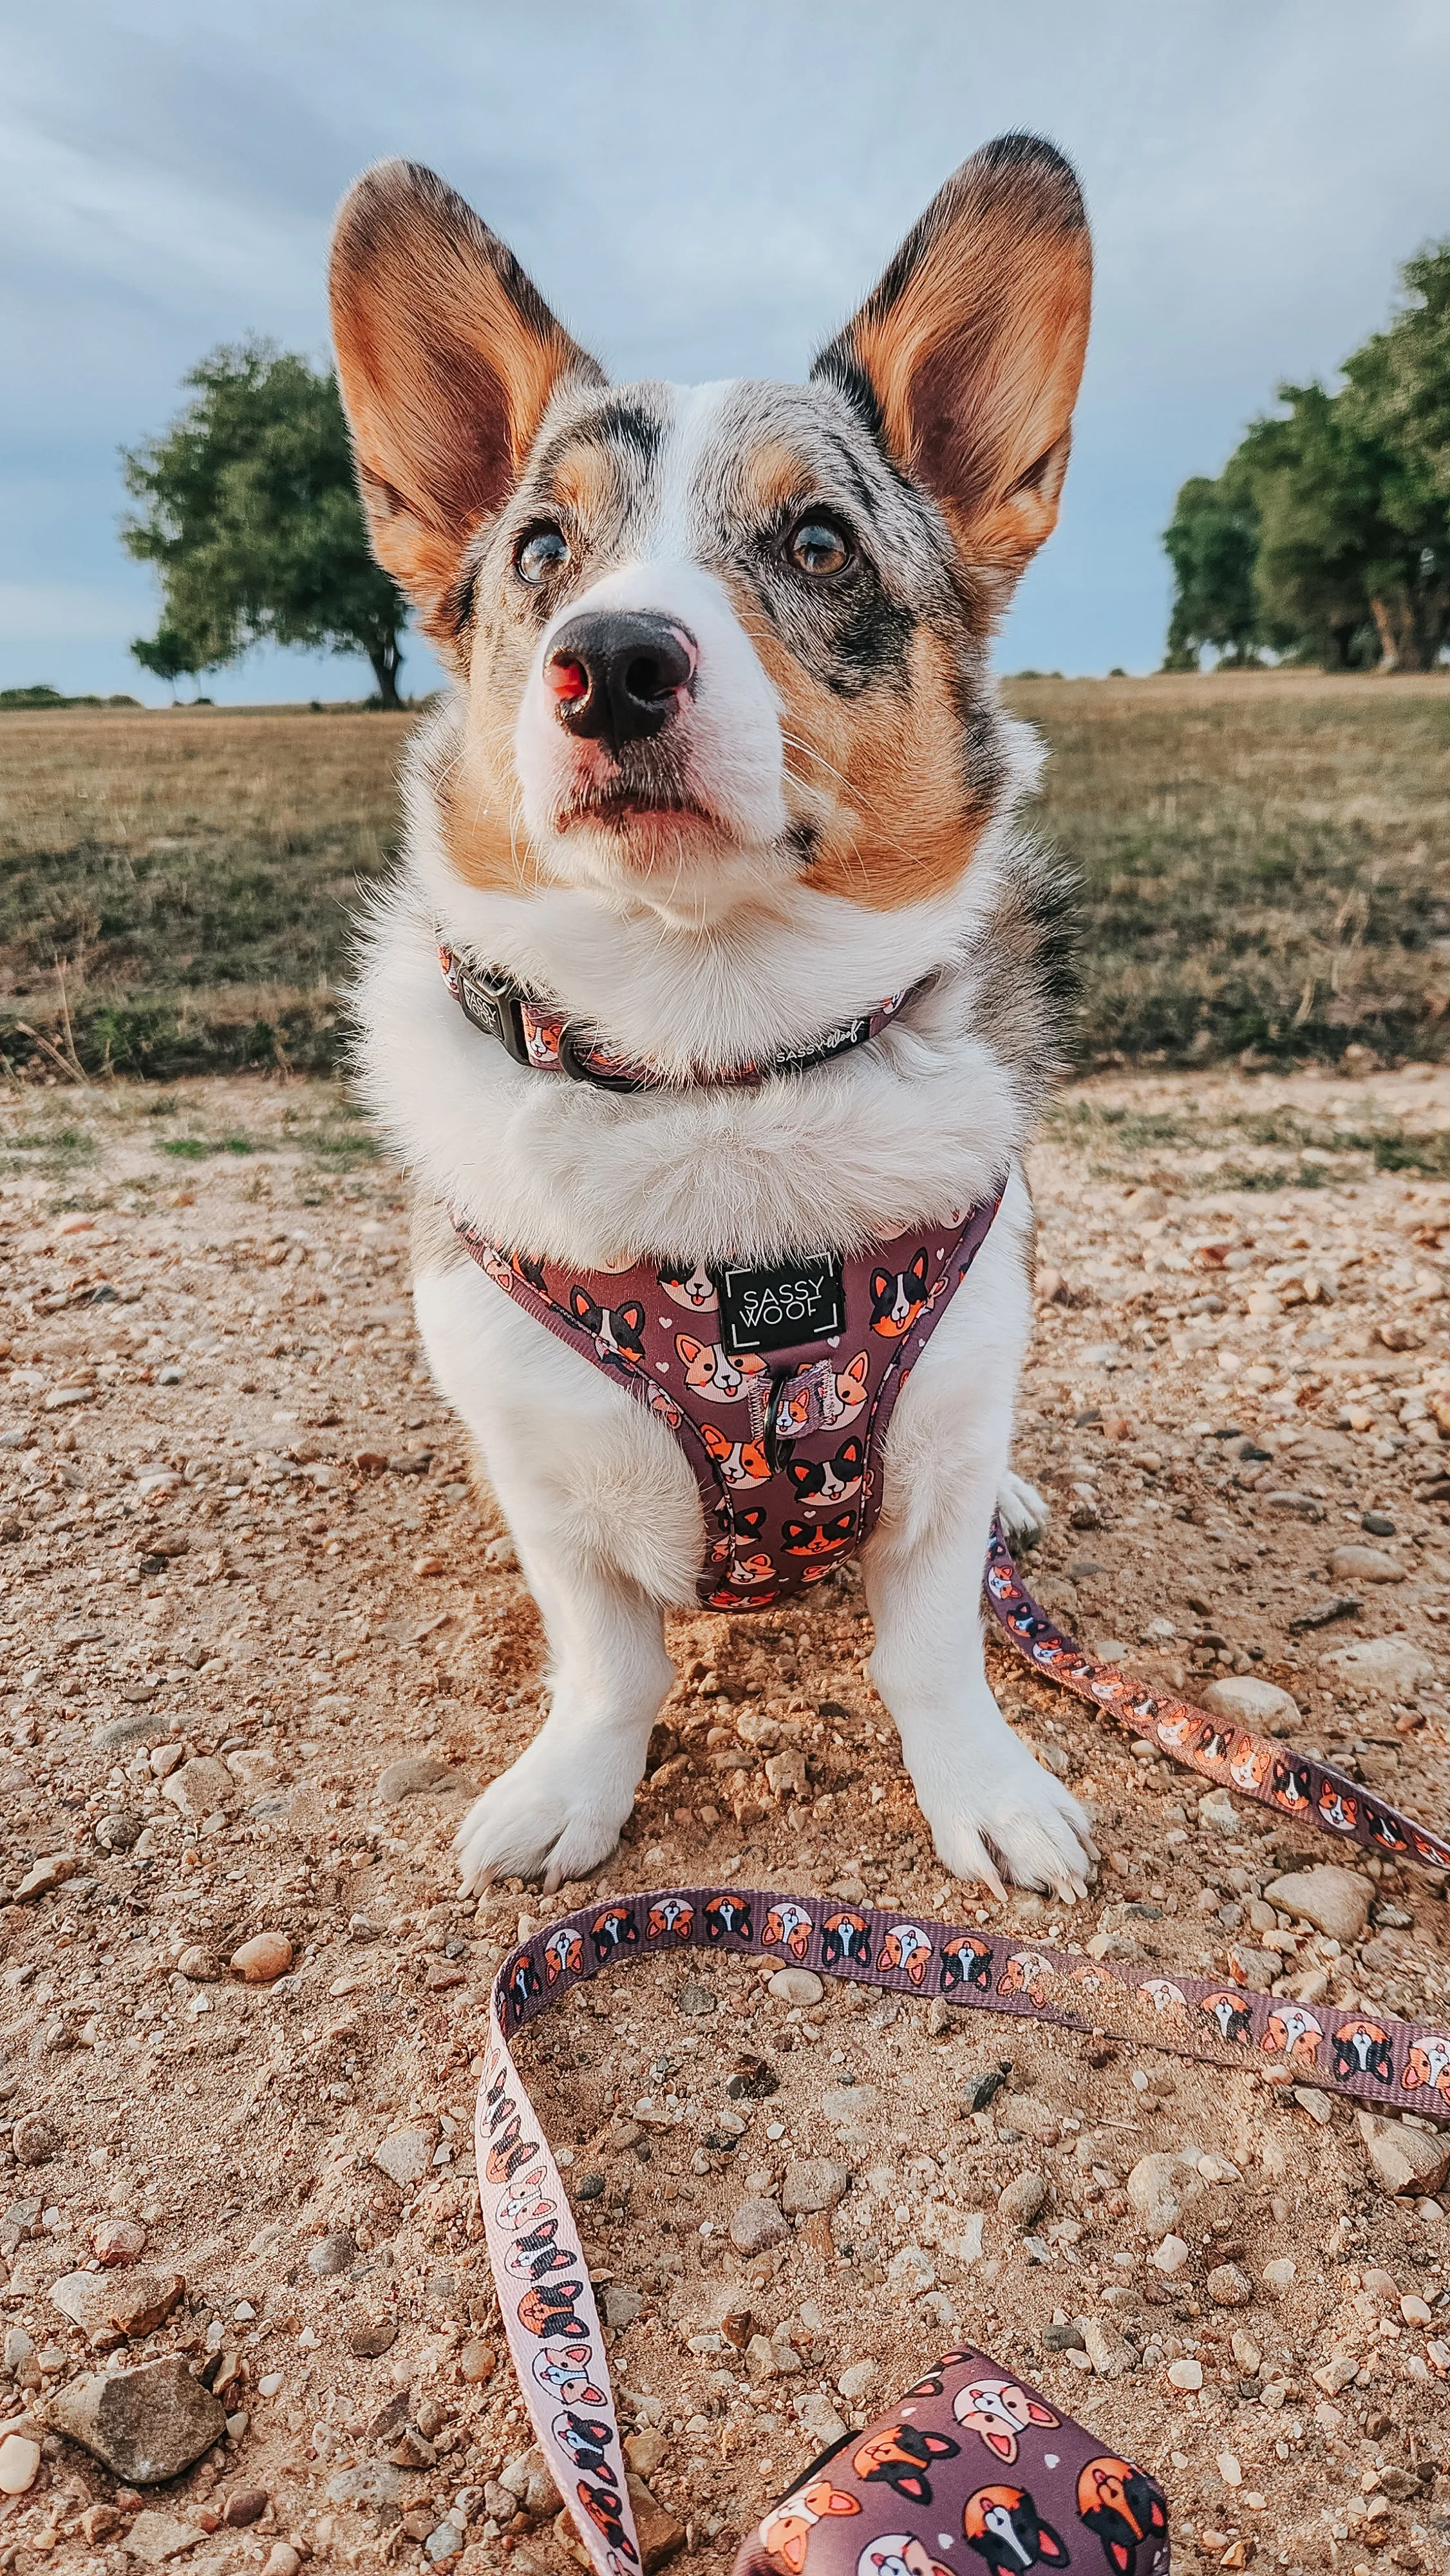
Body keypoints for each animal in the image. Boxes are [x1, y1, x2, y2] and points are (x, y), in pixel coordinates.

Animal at [330, 131, 1097, 1906]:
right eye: (541, 551)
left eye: (816, 543)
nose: (607, 662)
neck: (717, 1054)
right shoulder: (542, 1470)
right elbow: (606, 1657)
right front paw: (569, 1790)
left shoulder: (945, 1426)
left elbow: (935, 1647)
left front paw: (988, 1794)